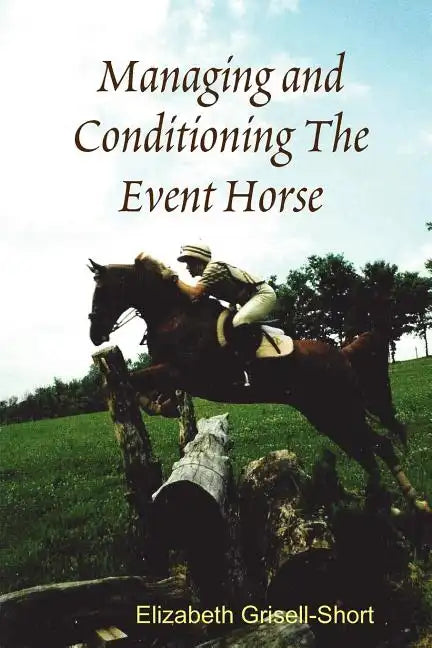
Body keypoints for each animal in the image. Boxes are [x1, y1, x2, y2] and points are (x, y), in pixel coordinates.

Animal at [88, 253, 430, 512]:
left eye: (103, 292)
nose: (95, 334)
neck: (174, 315)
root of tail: (342, 354)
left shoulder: (183, 372)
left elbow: (130, 380)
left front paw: (155, 403)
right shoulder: (174, 374)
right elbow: (145, 385)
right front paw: (163, 404)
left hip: (339, 409)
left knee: (377, 445)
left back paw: (409, 503)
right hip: (324, 415)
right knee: (367, 450)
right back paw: (391, 503)